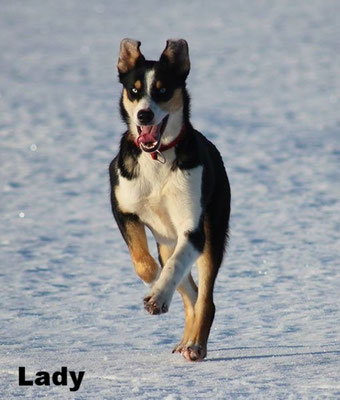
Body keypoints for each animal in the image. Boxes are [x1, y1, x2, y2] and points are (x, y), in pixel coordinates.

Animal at [109, 39, 231, 360]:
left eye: (163, 90)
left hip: (212, 233)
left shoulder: (194, 230)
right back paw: (184, 336)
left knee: (205, 298)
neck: (157, 158)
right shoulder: (122, 208)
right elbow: (143, 261)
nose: (144, 115)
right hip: (166, 240)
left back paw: (195, 345)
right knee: (191, 294)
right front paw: (154, 285)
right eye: (134, 90)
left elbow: (176, 268)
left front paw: (157, 296)